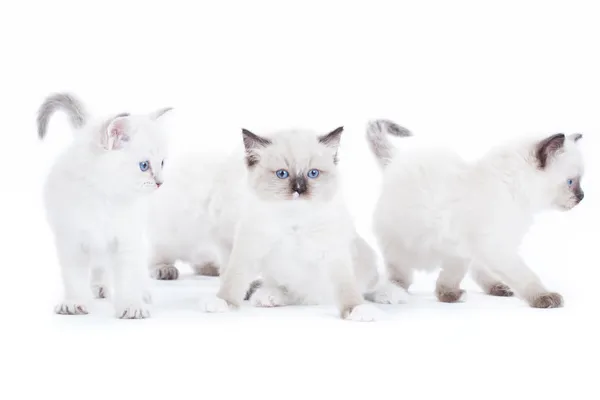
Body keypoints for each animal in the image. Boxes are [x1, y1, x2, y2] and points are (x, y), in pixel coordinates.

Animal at [38, 91, 171, 318]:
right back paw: (98, 287)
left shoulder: (127, 240)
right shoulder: (70, 240)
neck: (105, 198)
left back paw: (142, 292)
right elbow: (74, 277)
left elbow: (127, 277)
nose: (161, 182)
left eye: (162, 163)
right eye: (144, 166)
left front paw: (131, 305)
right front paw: (74, 303)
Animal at [200, 126, 390, 320]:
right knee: (287, 293)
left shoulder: (334, 254)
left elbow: (348, 289)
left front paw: (357, 309)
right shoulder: (249, 249)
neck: (294, 221)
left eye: (313, 173)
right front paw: (223, 302)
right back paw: (268, 297)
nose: (299, 189)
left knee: (370, 287)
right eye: (282, 174)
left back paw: (387, 294)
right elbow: (233, 280)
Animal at [368, 120, 584, 308]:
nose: (582, 196)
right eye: (571, 182)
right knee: (399, 274)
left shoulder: (470, 249)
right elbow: (525, 275)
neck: (514, 191)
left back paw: (495, 287)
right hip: (401, 245)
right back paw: (395, 291)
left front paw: (448, 294)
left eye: (577, 182)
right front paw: (544, 296)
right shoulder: (493, 245)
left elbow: (452, 276)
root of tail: (395, 159)